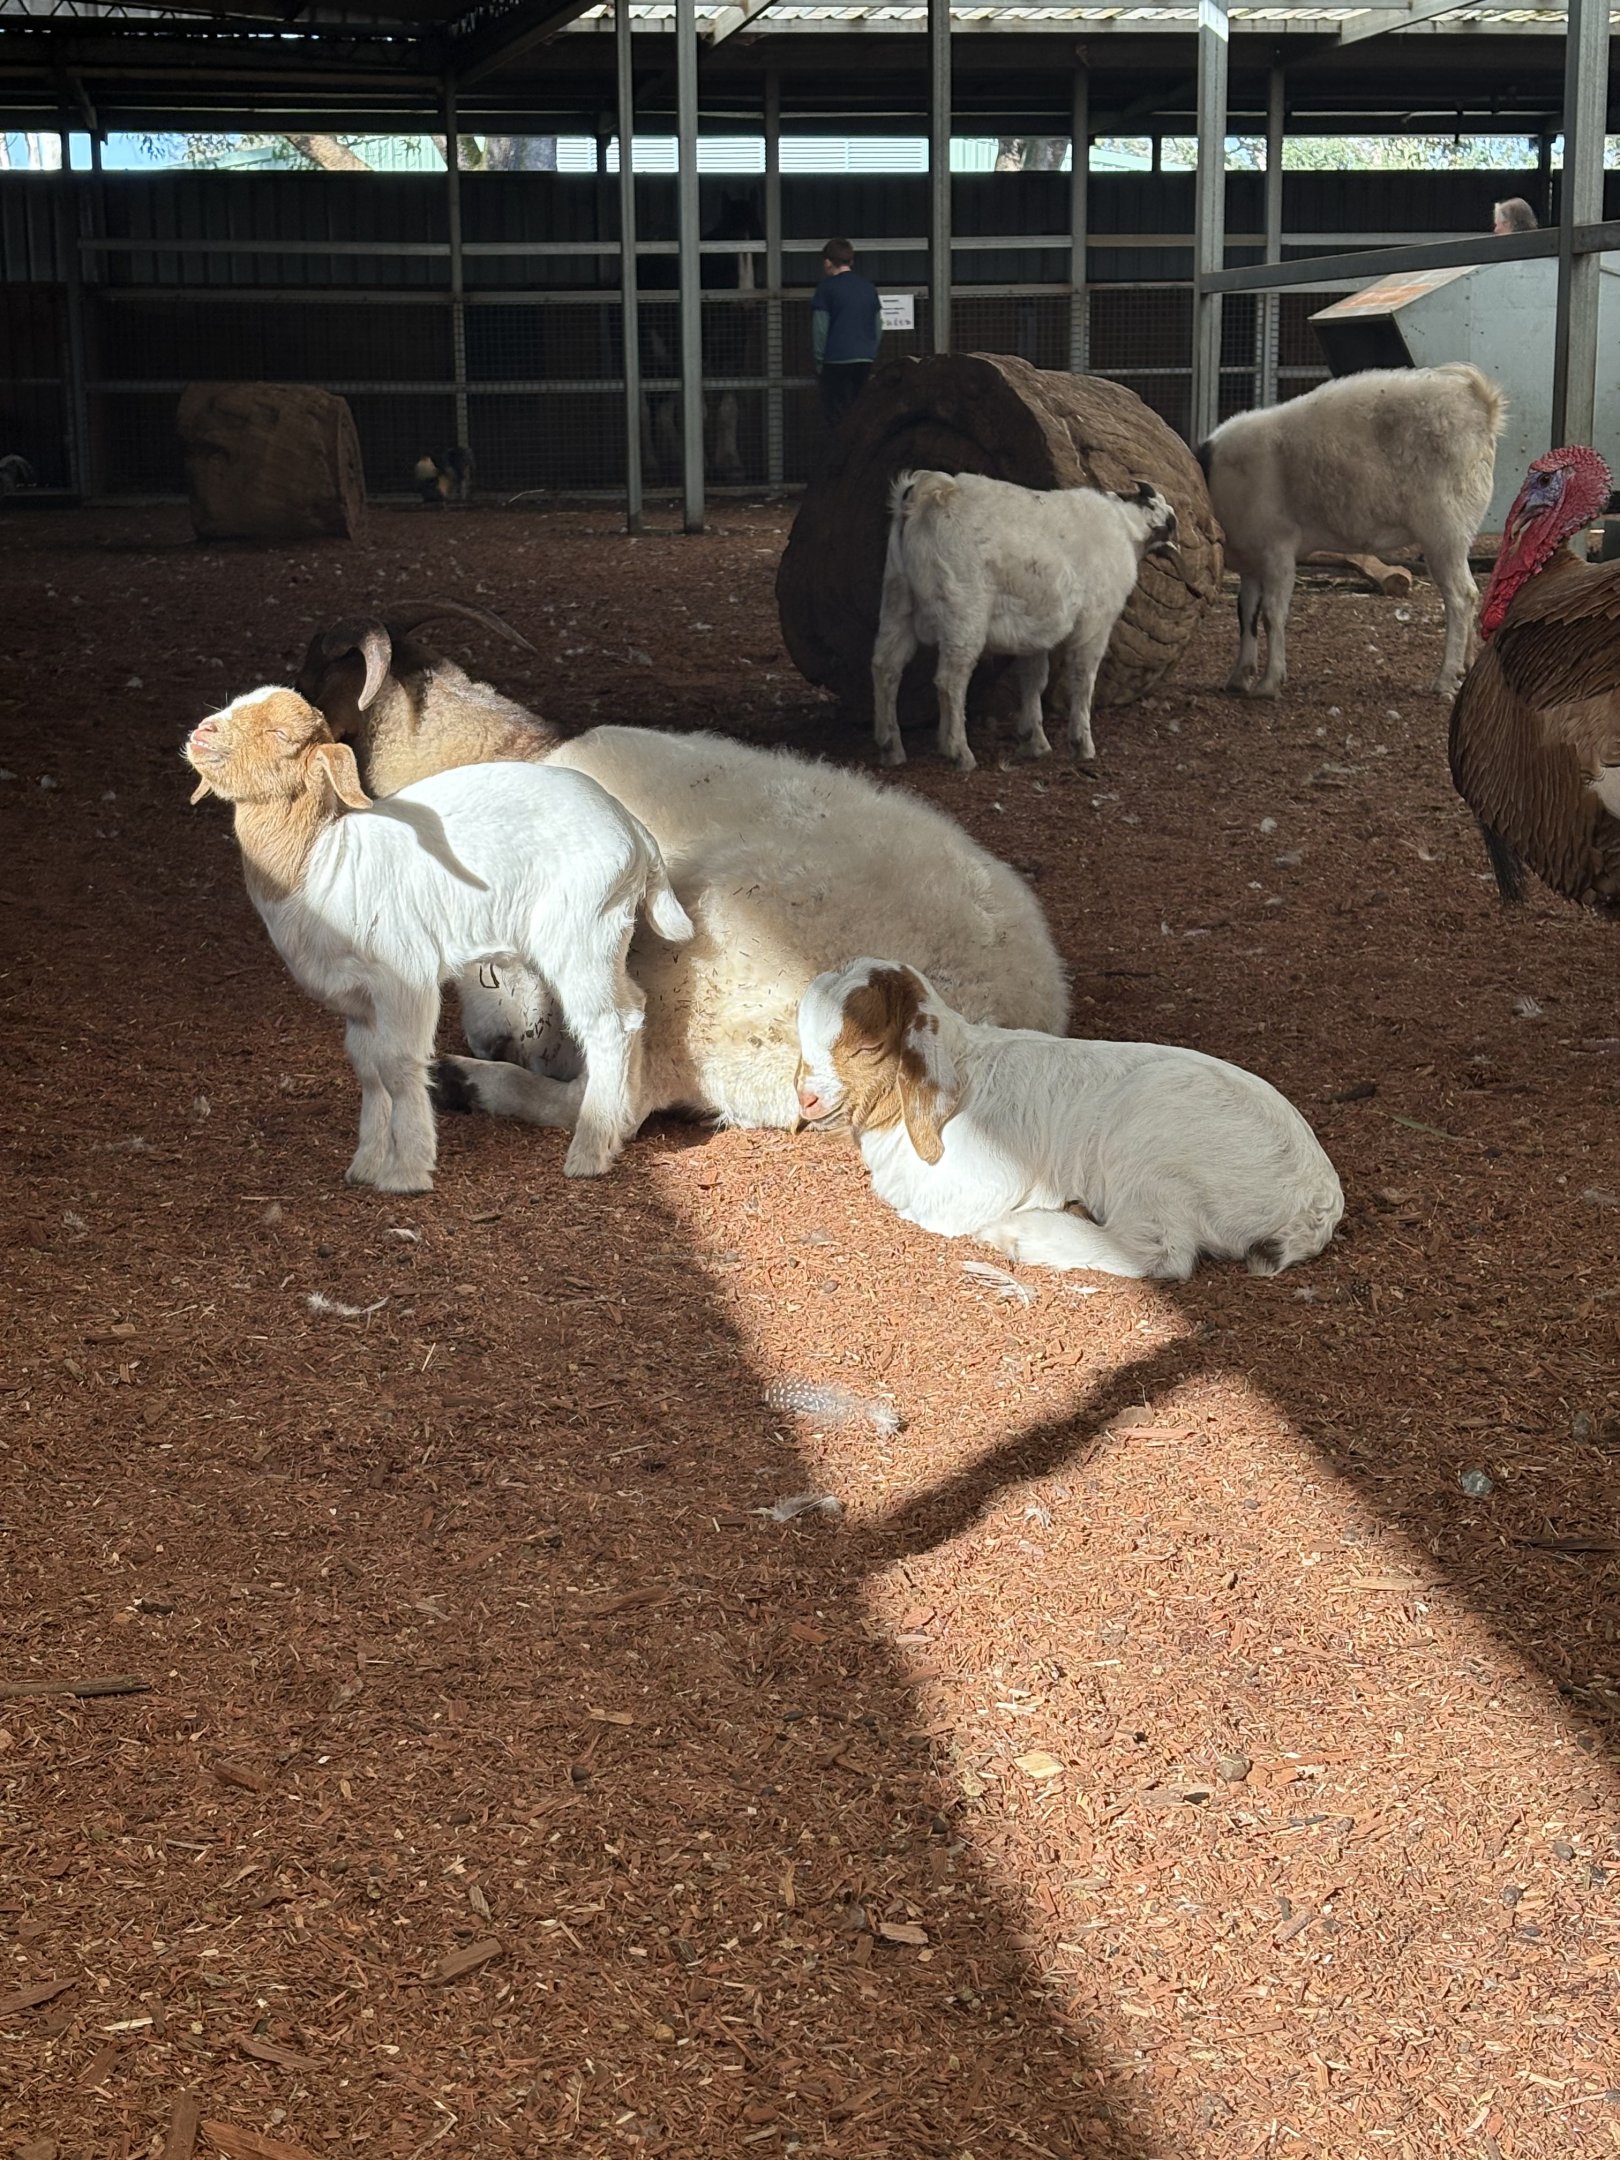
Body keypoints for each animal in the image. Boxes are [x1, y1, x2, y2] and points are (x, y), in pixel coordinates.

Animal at [183, 686, 692, 1193]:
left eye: (280, 734)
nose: (201, 733)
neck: (323, 859)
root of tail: (634, 831)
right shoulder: (359, 1000)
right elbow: (368, 1068)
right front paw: (365, 1165)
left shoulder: (405, 977)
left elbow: (399, 1066)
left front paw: (407, 1171)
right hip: (606, 933)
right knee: (633, 1007)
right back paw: (618, 1125)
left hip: (581, 931)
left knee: (607, 1024)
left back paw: (589, 1151)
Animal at [796, 959, 1343, 1281]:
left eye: (868, 1047)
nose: (807, 1100)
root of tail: (1315, 1204)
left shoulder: (976, 1185)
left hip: (1149, 1146)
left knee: (1157, 1252)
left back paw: (1019, 1234)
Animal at [870, 469, 1180, 773]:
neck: (1123, 525)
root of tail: (927, 496)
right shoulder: (1095, 623)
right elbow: (1083, 679)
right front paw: (1082, 744)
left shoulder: (1035, 632)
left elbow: (1034, 679)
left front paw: (1034, 741)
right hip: (963, 612)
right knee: (950, 681)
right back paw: (960, 753)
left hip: (897, 599)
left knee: (886, 666)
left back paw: (891, 748)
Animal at [1198, 363, 1507, 701]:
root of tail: (1482, 405)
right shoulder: (1251, 562)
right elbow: (1246, 613)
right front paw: (1239, 676)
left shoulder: (1277, 550)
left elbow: (1272, 614)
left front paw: (1268, 682)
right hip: (1457, 534)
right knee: (1472, 593)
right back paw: (1464, 667)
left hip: (1444, 531)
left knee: (1460, 597)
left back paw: (1444, 678)